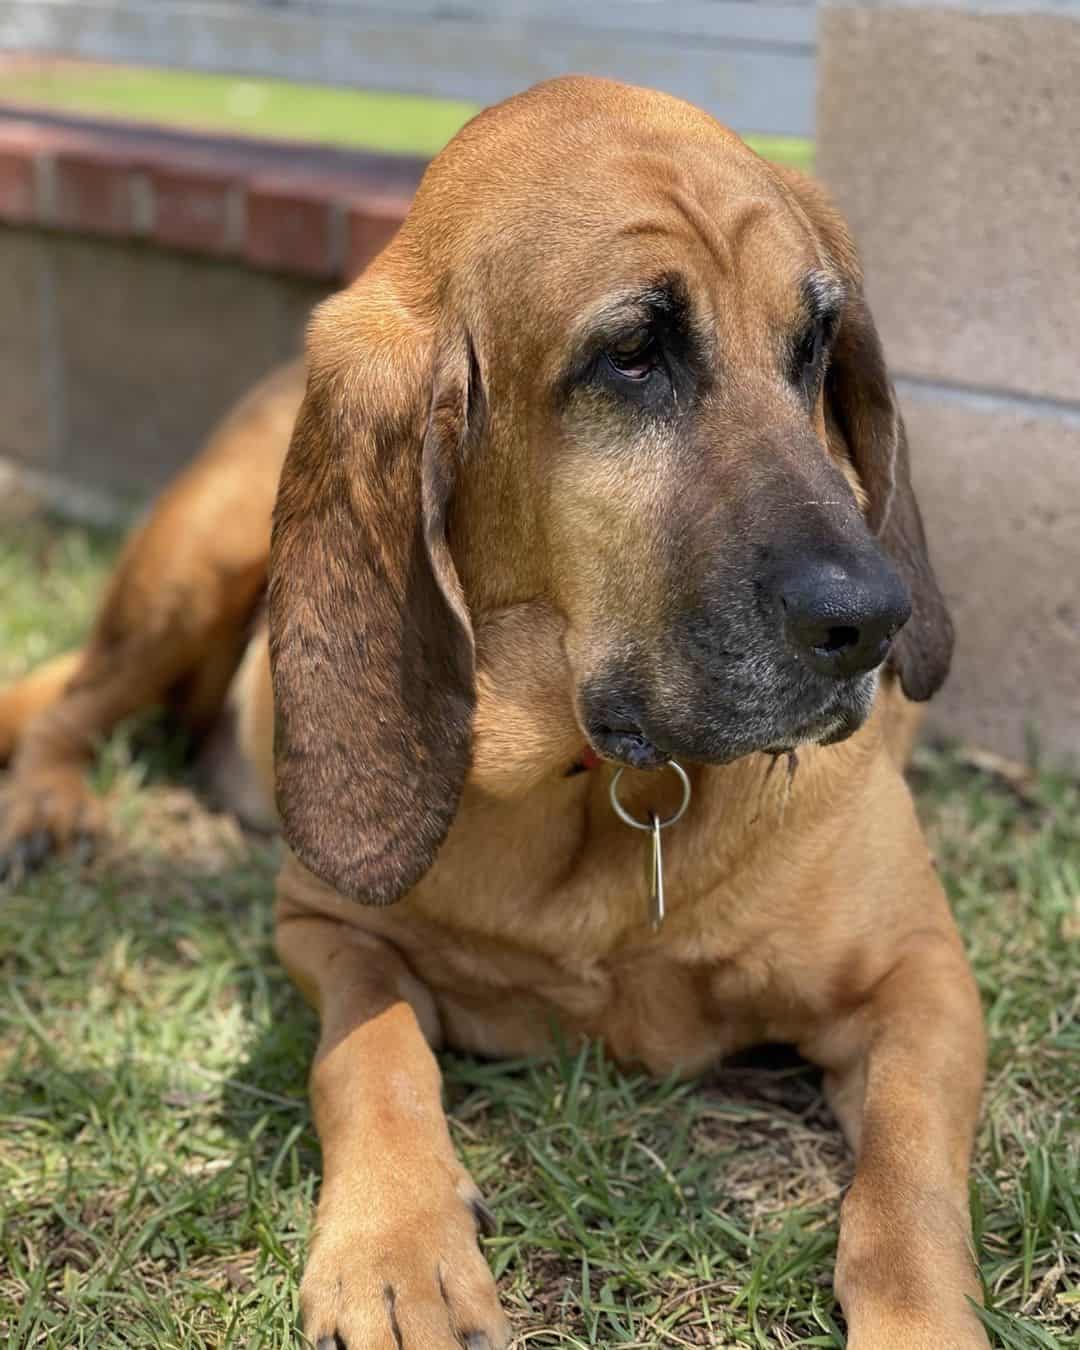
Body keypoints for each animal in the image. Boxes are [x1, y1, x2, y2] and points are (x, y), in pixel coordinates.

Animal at [0, 78, 988, 1344]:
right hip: (200, 560)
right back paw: (48, 808)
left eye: (817, 348)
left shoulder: (921, 975)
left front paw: (923, 1317)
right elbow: (369, 1057)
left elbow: (907, 1178)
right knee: (72, 701)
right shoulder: (327, 928)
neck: (606, 786)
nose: (874, 618)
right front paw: (398, 1247)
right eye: (632, 355)